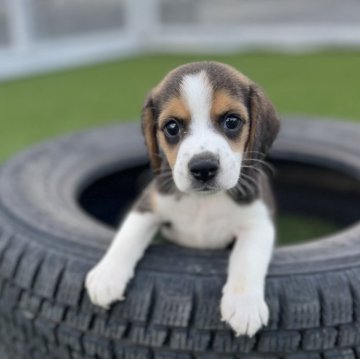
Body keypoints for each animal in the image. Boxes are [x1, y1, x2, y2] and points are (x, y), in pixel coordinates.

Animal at [86, 62, 280, 338]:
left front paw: (244, 305)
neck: (204, 201)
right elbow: (127, 236)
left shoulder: (258, 222)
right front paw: (107, 275)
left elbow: (247, 257)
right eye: (172, 127)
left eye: (232, 121)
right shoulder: (150, 204)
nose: (203, 167)